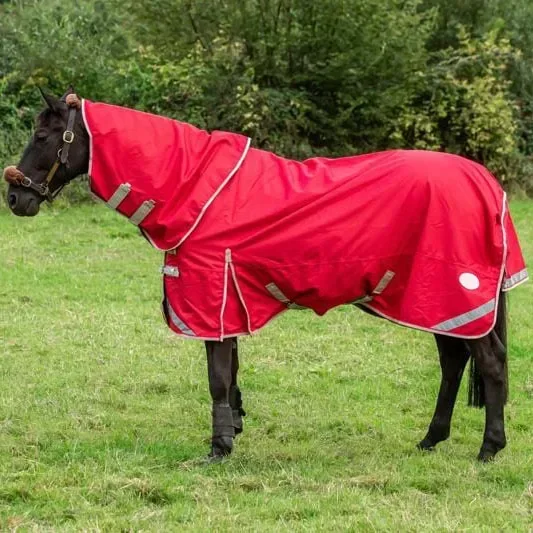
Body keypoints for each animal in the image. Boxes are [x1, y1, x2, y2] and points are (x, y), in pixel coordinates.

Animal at [3, 88, 528, 462]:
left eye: (44, 137)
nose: (15, 197)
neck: (195, 188)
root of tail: (486, 183)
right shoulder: (227, 300)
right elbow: (231, 370)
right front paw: (233, 429)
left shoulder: (210, 295)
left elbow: (217, 376)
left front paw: (218, 450)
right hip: (432, 302)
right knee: (453, 362)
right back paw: (431, 440)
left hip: (453, 296)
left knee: (490, 362)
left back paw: (489, 449)